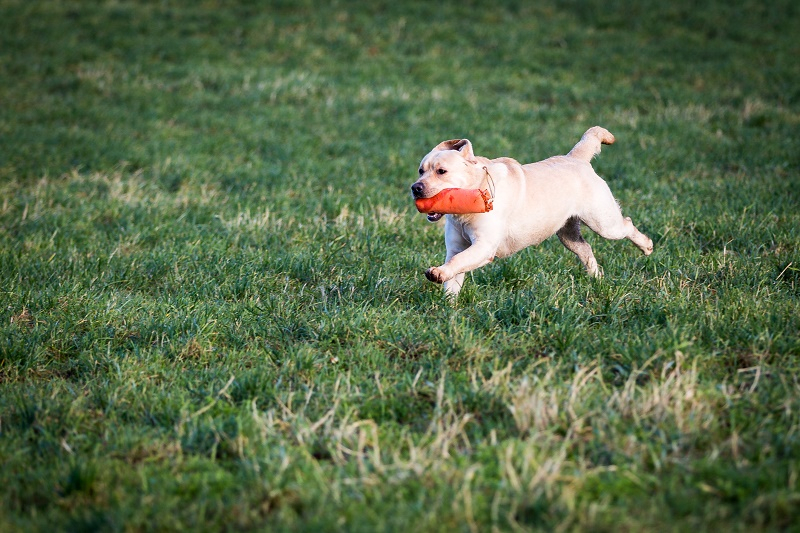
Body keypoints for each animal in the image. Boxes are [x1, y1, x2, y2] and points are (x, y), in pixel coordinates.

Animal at [412, 127, 656, 298]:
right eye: (421, 171)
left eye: (442, 171)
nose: (415, 188)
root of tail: (576, 157)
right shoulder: (456, 247)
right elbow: (455, 272)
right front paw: (448, 305)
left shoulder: (483, 246)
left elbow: (459, 261)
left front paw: (437, 274)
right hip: (567, 234)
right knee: (586, 249)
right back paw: (597, 279)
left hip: (603, 222)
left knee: (627, 224)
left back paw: (646, 246)